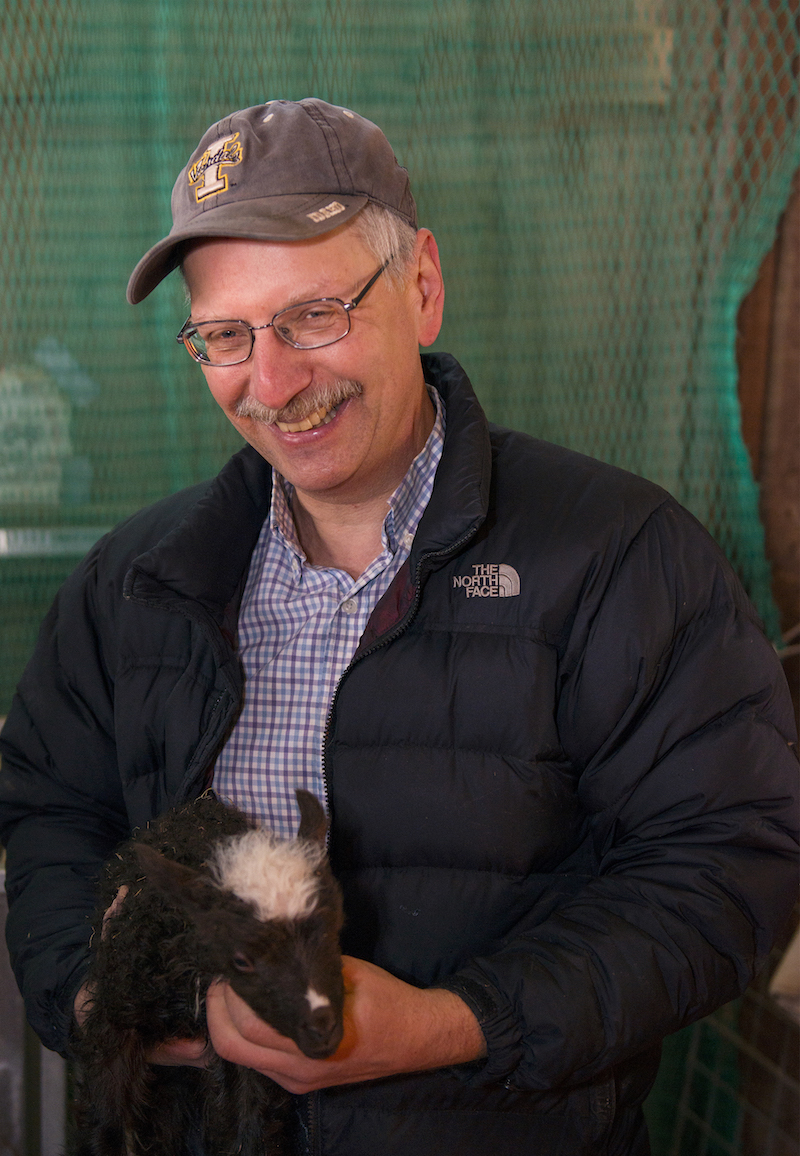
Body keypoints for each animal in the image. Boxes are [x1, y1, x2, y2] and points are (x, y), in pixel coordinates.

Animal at [75, 790, 346, 1156]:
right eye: (241, 959)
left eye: (333, 931)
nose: (323, 1030)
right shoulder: (115, 1018)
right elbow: (107, 1126)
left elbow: (252, 1128)